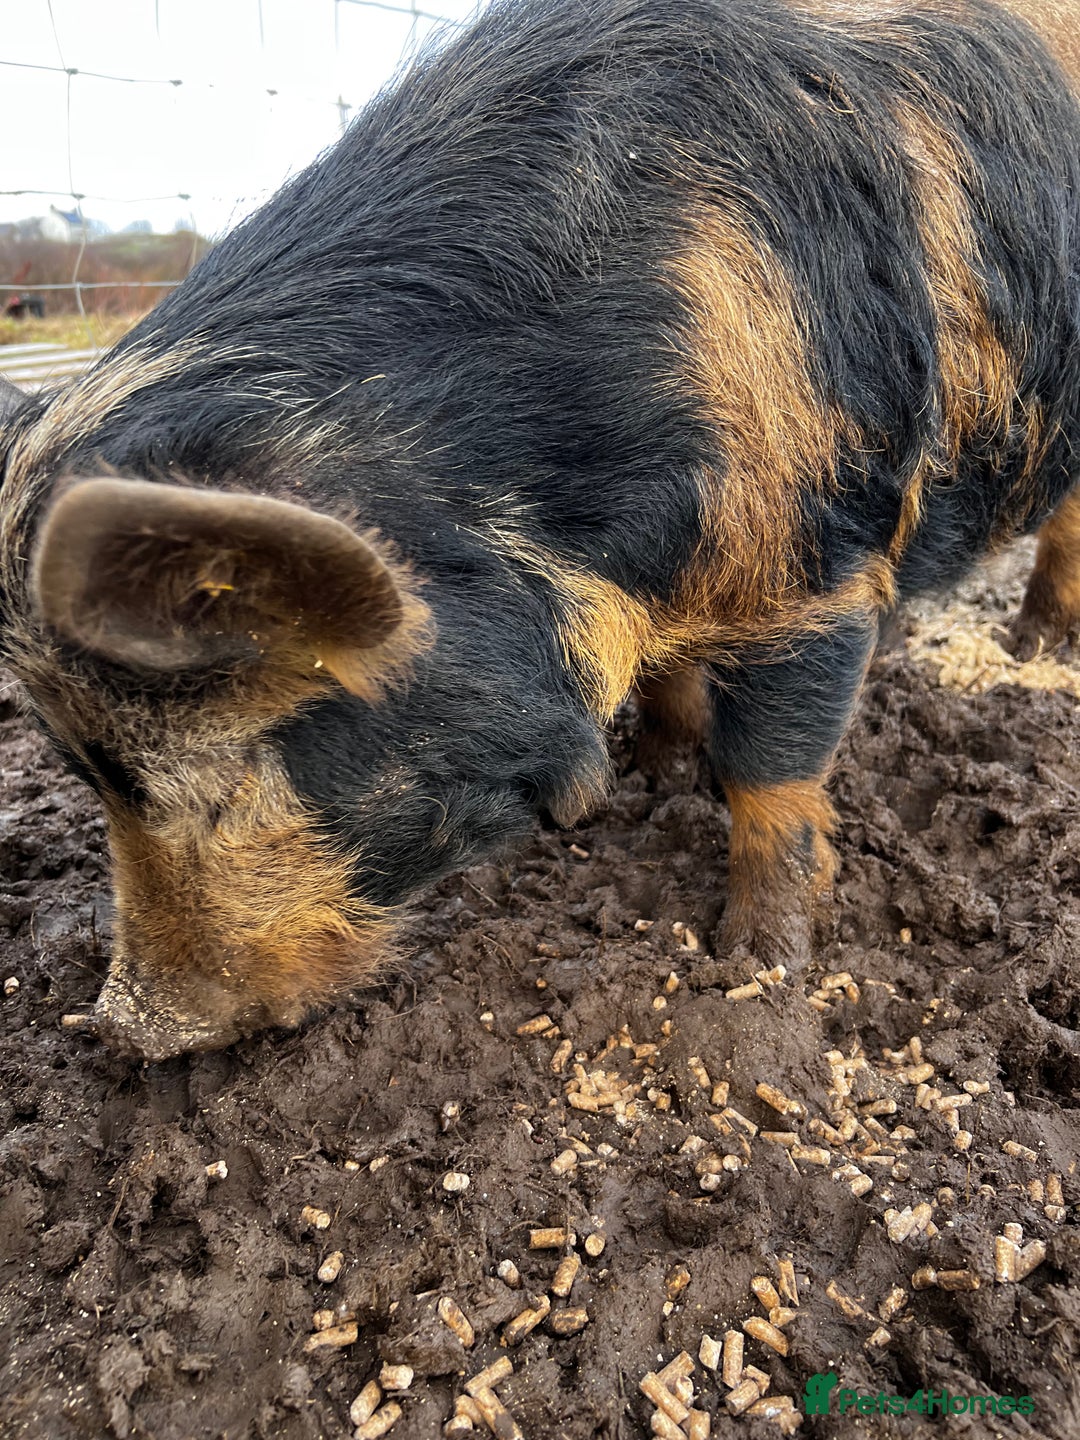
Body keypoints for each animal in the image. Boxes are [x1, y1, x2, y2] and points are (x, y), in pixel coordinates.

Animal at [1, 0, 1079, 1059]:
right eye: (82, 769)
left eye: (221, 774)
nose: (125, 1027)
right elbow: (674, 686)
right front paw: (653, 772)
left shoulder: (818, 567)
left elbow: (773, 778)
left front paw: (760, 964)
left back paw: (1034, 647)